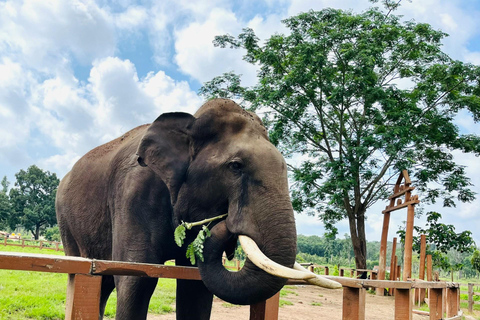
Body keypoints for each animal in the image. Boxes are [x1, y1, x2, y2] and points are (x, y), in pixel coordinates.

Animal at [55, 99, 338, 318]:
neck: (190, 123)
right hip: (66, 222)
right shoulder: (133, 194)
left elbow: (196, 287)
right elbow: (136, 277)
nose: (226, 221)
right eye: (235, 166)